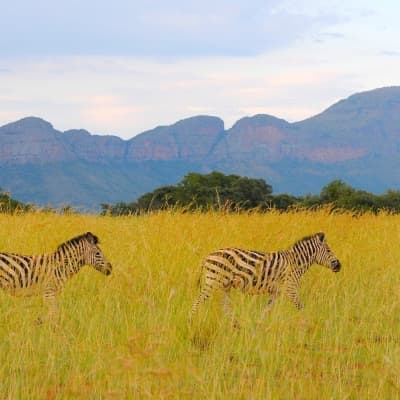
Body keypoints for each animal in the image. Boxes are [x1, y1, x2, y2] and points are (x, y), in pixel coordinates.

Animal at [190, 233, 340, 326]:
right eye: (328, 250)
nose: (339, 265)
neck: (295, 263)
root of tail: (208, 256)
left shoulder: (276, 292)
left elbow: (266, 310)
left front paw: (258, 326)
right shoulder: (290, 289)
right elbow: (301, 308)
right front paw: (309, 324)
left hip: (225, 286)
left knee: (225, 307)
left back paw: (236, 325)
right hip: (212, 282)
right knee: (197, 301)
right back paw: (190, 322)